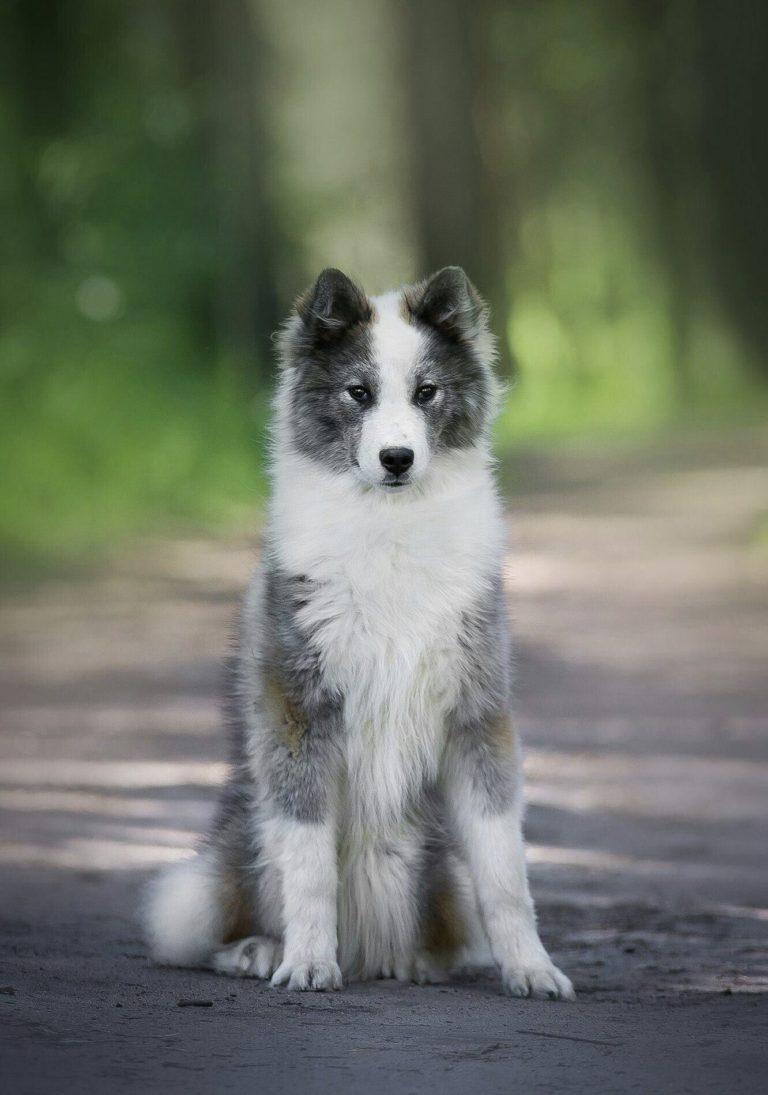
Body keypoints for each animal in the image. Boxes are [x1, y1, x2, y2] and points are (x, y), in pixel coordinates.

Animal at [143, 267, 574, 1003]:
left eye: (426, 391)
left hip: (438, 871)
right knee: (231, 910)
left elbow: (505, 873)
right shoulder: (300, 715)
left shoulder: (478, 716)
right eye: (358, 393)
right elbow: (311, 868)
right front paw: (308, 962)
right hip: (237, 849)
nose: (396, 458)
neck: (390, 528)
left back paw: (414, 960)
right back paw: (259, 949)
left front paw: (531, 967)